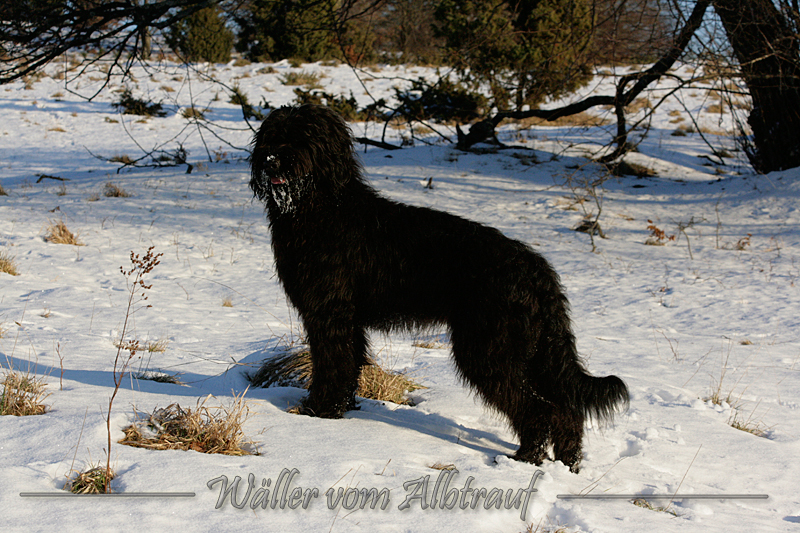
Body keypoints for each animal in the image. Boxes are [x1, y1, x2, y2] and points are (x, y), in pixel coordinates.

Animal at [250, 104, 628, 472]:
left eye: (304, 136)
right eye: (272, 134)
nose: (272, 159)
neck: (323, 208)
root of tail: (538, 270)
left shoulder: (329, 314)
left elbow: (332, 365)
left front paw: (319, 412)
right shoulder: (348, 321)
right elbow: (348, 365)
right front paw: (341, 408)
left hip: (491, 349)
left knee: (537, 408)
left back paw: (524, 458)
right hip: (535, 349)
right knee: (565, 408)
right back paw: (568, 462)